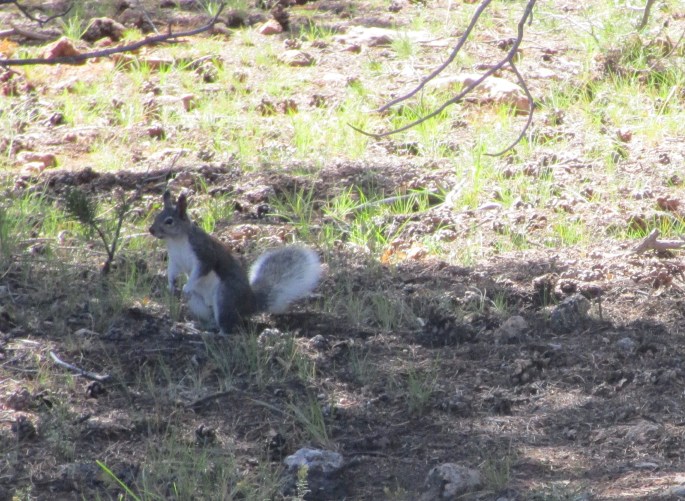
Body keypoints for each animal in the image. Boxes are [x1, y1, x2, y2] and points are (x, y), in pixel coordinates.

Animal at [149, 190, 321, 334]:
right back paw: (199, 326)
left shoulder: (204, 255)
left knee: (227, 325)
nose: (151, 230)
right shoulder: (174, 260)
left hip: (225, 297)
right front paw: (171, 286)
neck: (176, 241)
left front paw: (187, 286)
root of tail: (249, 303)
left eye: (169, 221)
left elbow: (200, 272)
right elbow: (172, 272)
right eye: (156, 216)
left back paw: (218, 334)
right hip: (198, 303)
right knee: (212, 318)